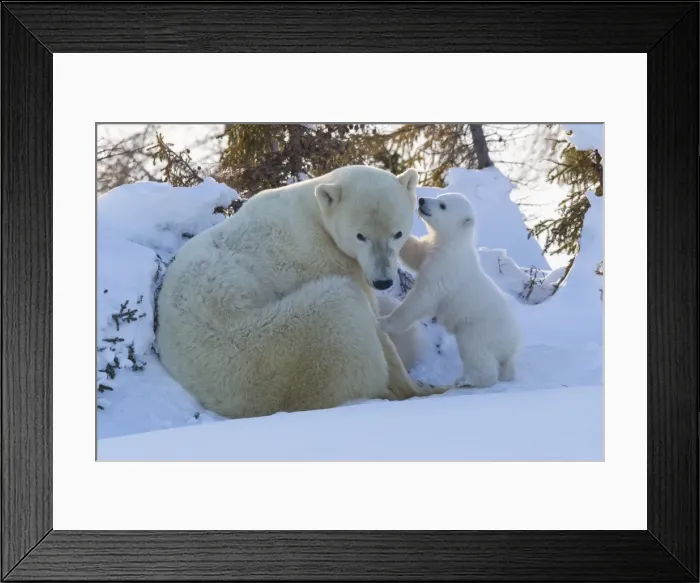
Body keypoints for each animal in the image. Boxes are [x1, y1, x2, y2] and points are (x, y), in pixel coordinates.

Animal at [155, 165, 451, 420]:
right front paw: (415, 383)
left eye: (397, 233)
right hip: (281, 339)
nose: (382, 281)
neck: (315, 212)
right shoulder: (325, 259)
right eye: (360, 236)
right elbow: (376, 325)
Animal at [378, 192, 521, 388]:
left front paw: (384, 321)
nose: (422, 200)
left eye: (443, 205)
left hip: (481, 330)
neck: (453, 245)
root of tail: (512, 346)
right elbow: (415, 253)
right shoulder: (431, 251)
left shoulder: (444, 270)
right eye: (439, 196)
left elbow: (421, 300)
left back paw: (466, 380)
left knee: (475, 352)